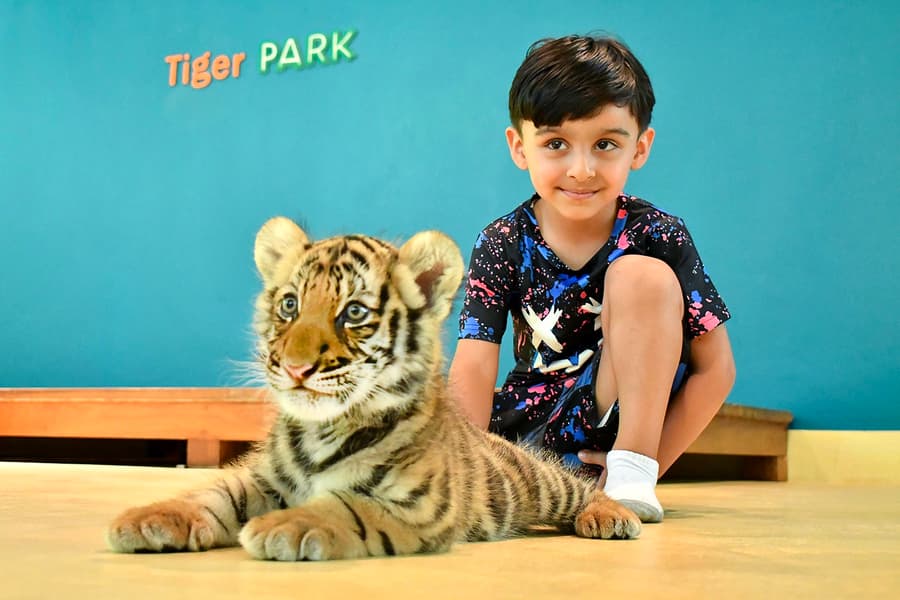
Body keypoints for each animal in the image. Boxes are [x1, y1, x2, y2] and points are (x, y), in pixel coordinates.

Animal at [106, 216, 641, 560]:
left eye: (354, 313)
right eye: (289, 305)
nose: (296, 368)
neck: (320, 430)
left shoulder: (421, 505)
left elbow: (346, 506)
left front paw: (282, 526)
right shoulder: (263, 479)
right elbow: (213, 494)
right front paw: (148, 518)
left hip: (536, 480)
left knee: (577, 487)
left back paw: (615, 516)